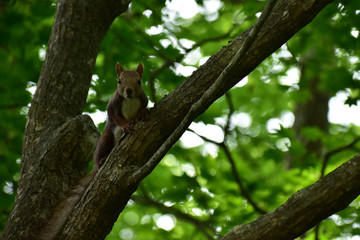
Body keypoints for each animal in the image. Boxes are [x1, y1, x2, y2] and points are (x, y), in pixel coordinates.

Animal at [40, 62, 149, 240]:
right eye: (119, 81)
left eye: (139, 81)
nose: (128, 91)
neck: (130, 100)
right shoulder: (113, 105)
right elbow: (115, 116)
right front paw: (126, 124)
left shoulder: (143, 98)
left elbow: (145, 105)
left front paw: (143, 112)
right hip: (105, 139)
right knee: (101, 154)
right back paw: (102, 160)